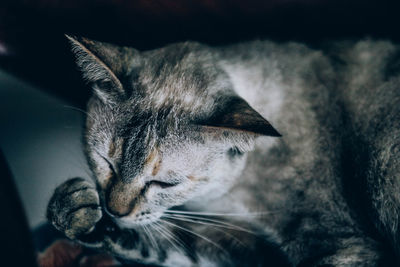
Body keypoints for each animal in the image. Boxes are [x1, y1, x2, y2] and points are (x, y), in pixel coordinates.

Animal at [45, 36, 400, 267]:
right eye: (106, 162)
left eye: (164, 183)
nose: (115, 210)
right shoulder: (240, 241)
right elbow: (166, 241)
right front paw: (75, 210)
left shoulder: (340, 242)